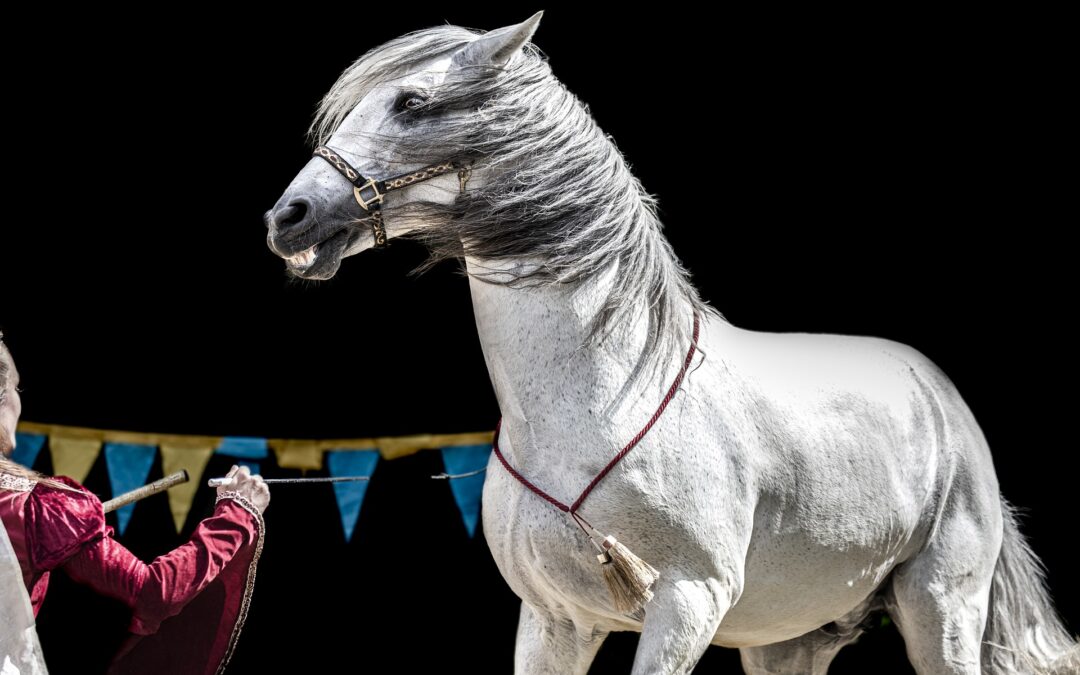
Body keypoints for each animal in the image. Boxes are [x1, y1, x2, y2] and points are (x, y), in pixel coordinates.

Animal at [264, 13, 1078, 674]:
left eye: (413, 102)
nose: (288, 217)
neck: (600, 399)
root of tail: (942, 397)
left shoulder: (687, 602)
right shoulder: (553, 620)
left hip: (941, 609)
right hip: (790, 641)